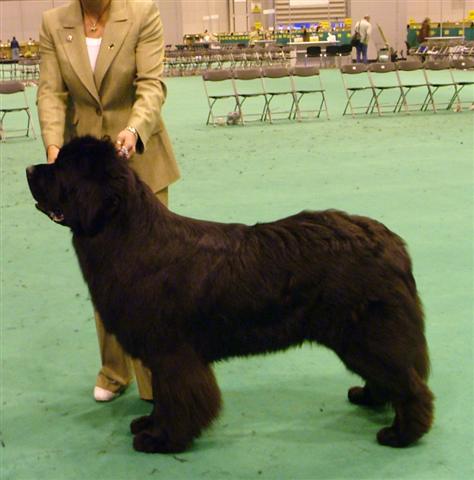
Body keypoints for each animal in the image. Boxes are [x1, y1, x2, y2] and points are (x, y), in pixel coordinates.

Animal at [25, 135, 434, 454]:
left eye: (62, 169)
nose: (29, 170)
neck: (128, 236)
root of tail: (392, 242)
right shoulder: (163, 355)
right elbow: (164, 399)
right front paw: (148, 425)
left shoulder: (172, 353)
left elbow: (178, 399)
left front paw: (161, 440)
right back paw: (369, 398)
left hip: (367, 335)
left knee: (411, 385)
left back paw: (402, 434)